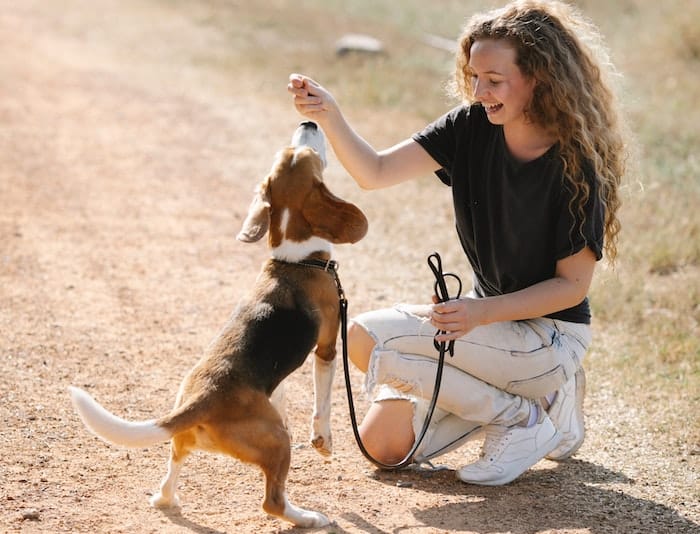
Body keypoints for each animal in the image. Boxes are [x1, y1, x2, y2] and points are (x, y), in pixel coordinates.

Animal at [68, 120, 370, 528]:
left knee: (174, 464)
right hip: (277, 442)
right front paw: (323, 441)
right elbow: (322, 402)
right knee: (272, 502)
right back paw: (308, 517)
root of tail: (204, 397)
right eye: (306, 154)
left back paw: (165, 498)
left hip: (188, 439)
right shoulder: (326, 348)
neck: (294, 258)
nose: (308, 123)